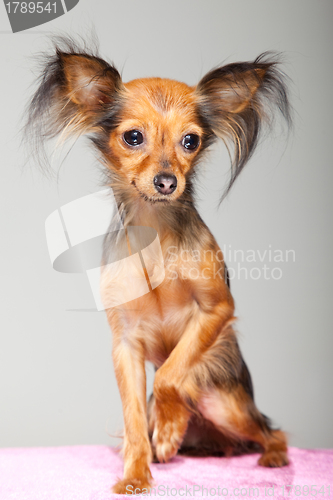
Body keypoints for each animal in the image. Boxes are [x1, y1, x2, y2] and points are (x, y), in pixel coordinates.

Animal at [25, 37, 290, 494]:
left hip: (225, 402)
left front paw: (168, 428)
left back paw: (265, 454)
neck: (155, 232)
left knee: (270, 430)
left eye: (190, 141)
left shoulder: (217, 309)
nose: (167, 182)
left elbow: (170, 373)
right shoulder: (125, 346)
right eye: (133, 137)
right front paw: (135, 474)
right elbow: (134, 421)